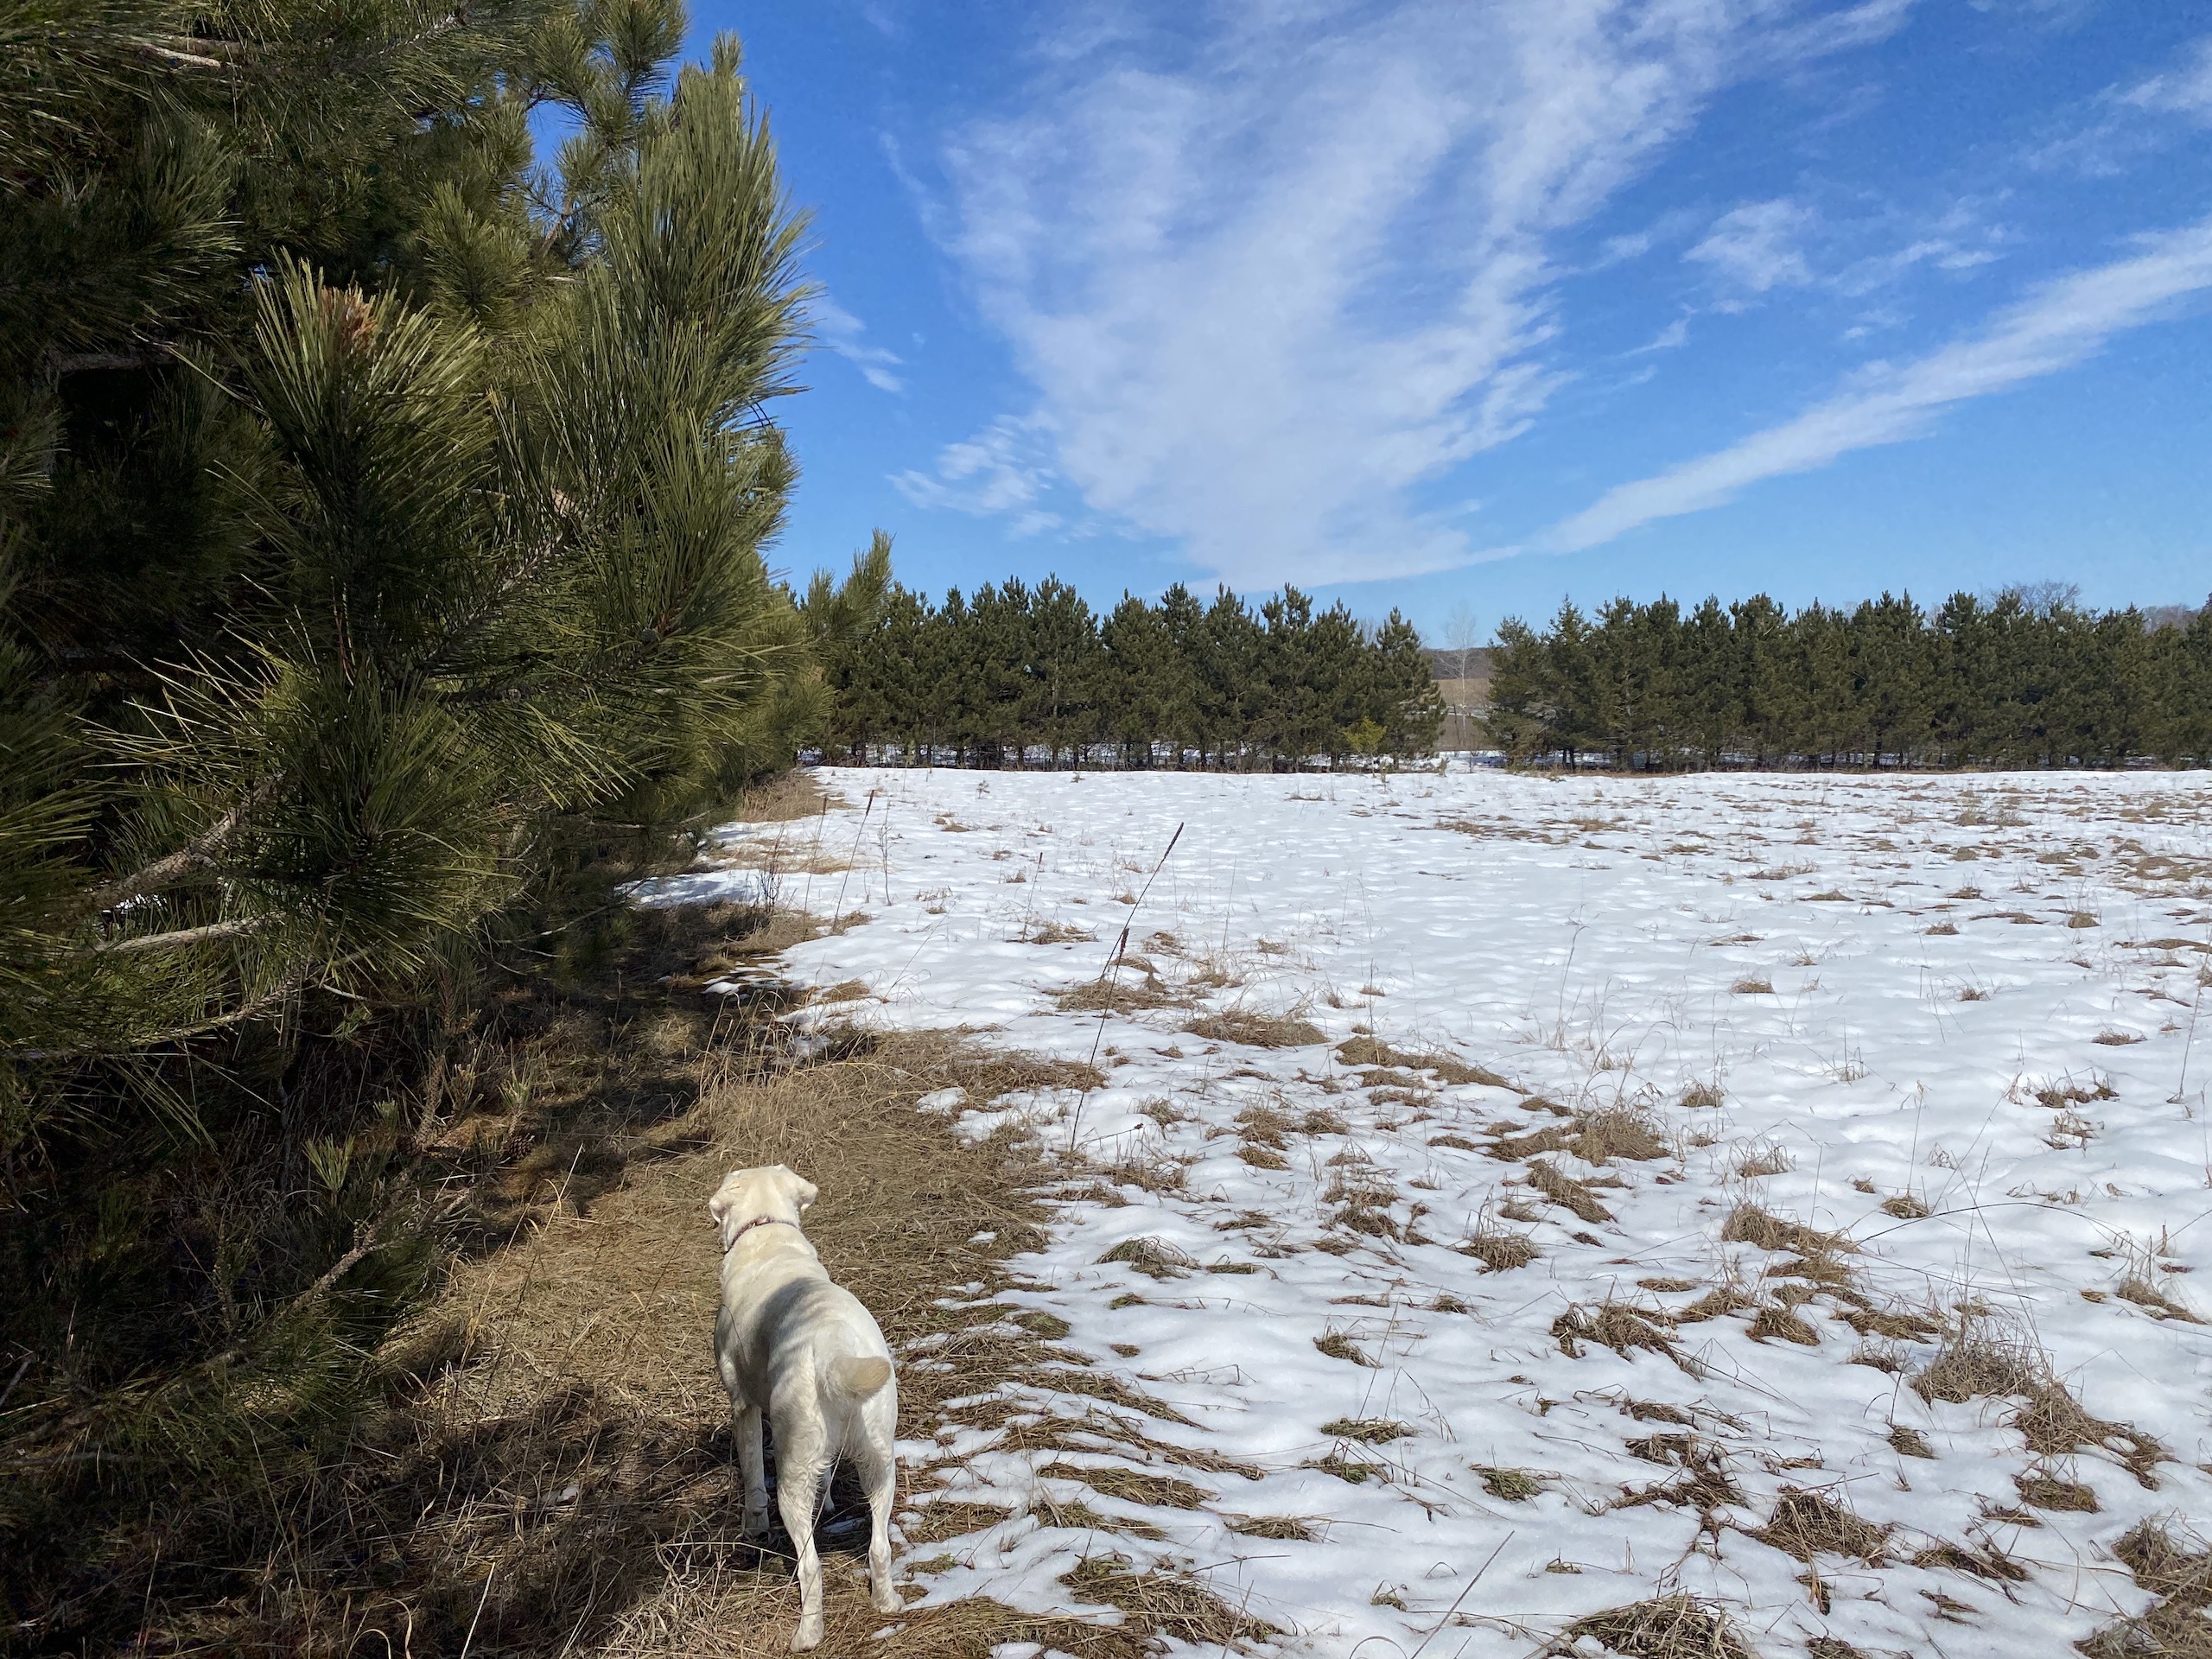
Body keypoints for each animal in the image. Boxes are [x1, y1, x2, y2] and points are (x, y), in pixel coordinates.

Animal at [710, 1165, 901, 1650]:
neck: (767, 1231)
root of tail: (833, 1345)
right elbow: (827, 1481)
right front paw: (828, 1503)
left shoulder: (742, 1406)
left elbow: (752, 1477)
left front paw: (752, 1529)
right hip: (880, 1461)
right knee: (879, 1546)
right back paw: (887, 1603)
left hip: (792, 1474)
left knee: (810, 1565)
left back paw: (807, 1635)